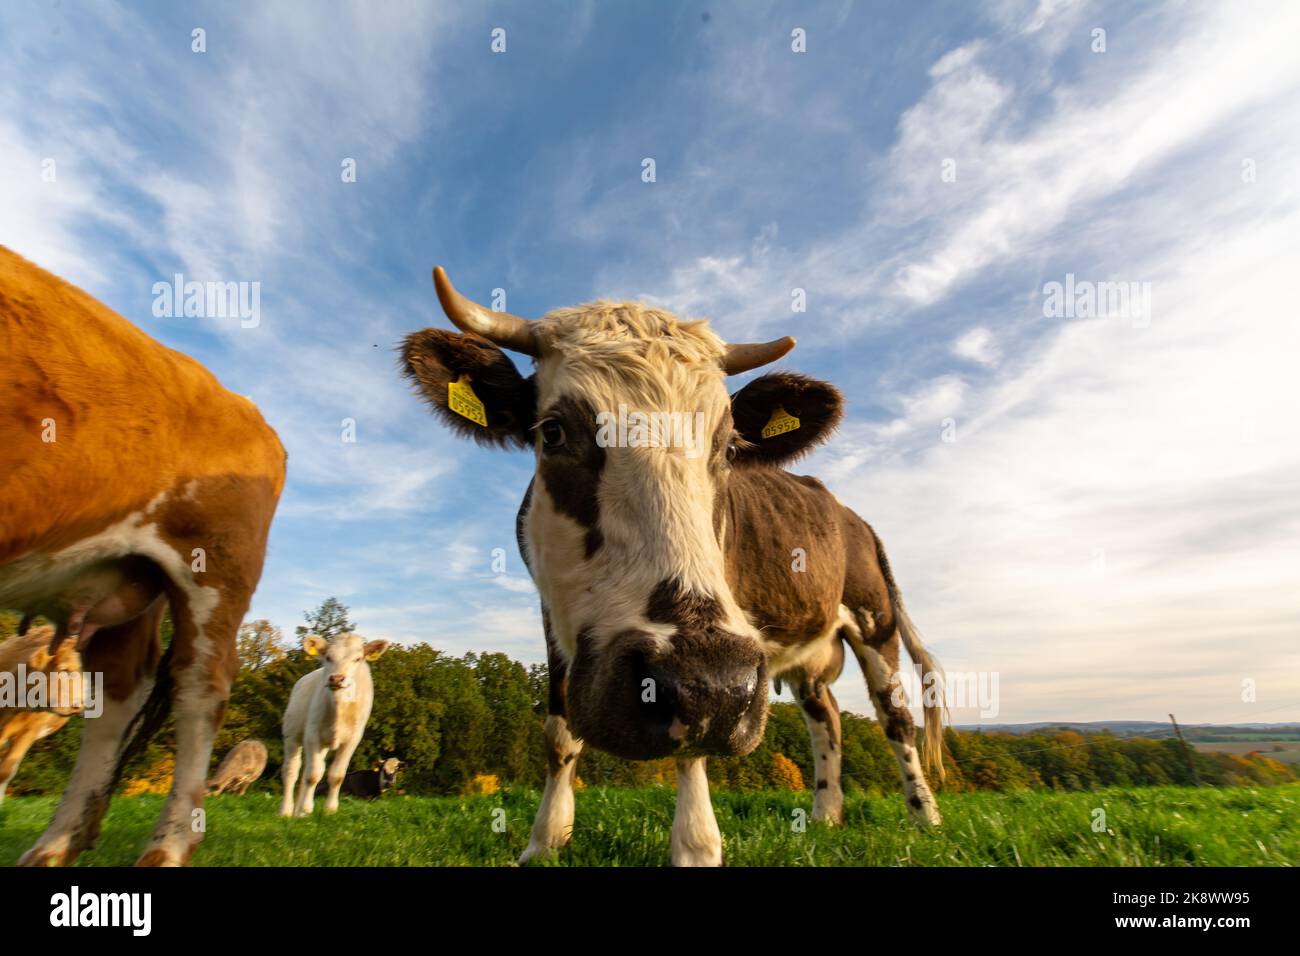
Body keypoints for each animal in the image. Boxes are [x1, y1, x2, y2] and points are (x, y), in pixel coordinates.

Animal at [281, 633, 392, 816]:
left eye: (357, 658)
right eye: (328, 657)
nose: (337, 678)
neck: (340, 707)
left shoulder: (353, 739)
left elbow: (336, 775)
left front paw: (329, 809)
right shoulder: (312, 734)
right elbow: (313, 775)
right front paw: (307, 807)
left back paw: (298, 814)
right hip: (292, 735)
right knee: (292, 771)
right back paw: (286, 810)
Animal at [401, 267, 947, 866]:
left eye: (728, 447)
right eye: (553, 431)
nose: (702, 678)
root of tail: (852, 517)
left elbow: (699, 739)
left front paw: (696, 846)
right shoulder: (552, 612)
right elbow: (560, 732)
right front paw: (545, 840)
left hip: (876, 621)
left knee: (895, 717)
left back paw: (926, 818)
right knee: (825, 717)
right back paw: (827, 817)